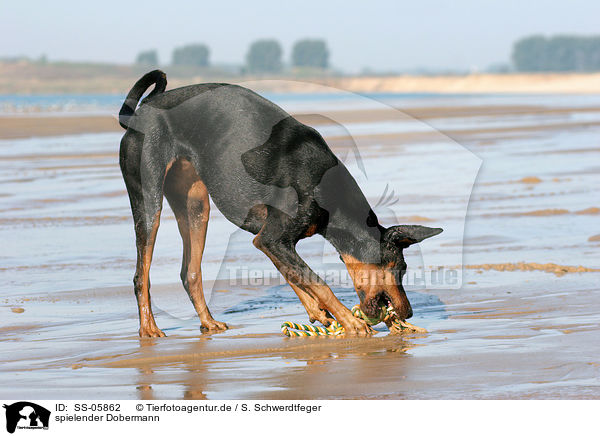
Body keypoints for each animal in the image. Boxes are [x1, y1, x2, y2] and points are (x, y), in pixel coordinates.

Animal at [119, 70, 442, 338]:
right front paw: (351, 322)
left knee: (190, 272)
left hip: (196, 207)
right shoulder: (271, 238)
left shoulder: (270, 240)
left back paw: (208, 323)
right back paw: (149, 328)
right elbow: (316, 280)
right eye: (400, 268)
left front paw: (320, 314)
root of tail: (137, 115)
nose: (408, 312)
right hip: (149, 201)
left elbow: (296, 277)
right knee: (140, 275)